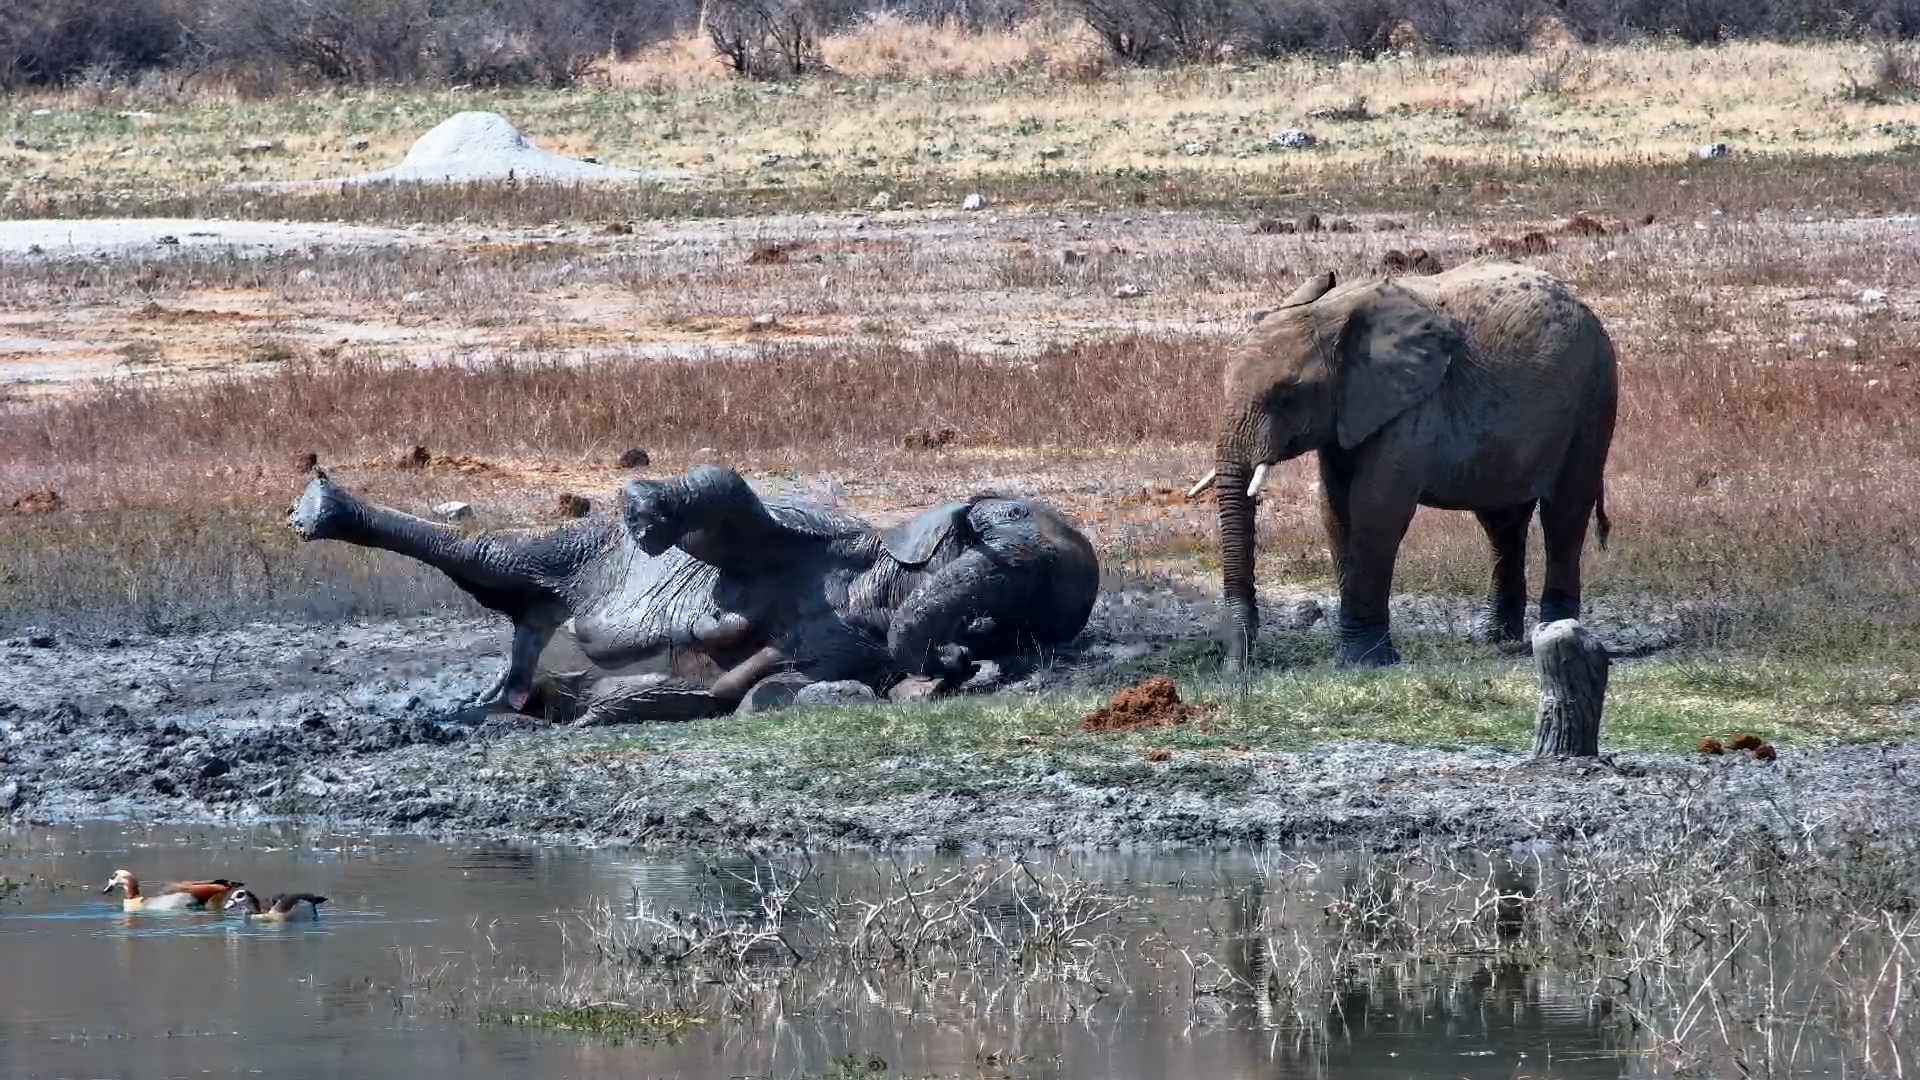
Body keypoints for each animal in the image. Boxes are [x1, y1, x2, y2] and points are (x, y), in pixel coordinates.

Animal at [286, 464, 1099, 724]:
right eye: (986, 526)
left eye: (1018, 620)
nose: (962, 652)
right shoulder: (822, 542)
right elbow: (731, 502)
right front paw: (645, 511)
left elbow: (762, 690)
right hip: (587, 551)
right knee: (500, 559)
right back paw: (317, 508)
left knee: (515, 600)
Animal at [1187, 258, 1618, 671]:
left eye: (1286, 397)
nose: (1234, 670)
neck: (1332, 314)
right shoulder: (1347, 414)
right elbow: (1335, 509)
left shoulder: (1413, 407)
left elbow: (1376, 508)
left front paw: (1361, 661)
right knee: (1502, 522)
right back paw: (1494, 637)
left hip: (1595, 393)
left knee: (1564, 513)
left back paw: (1555, 628)